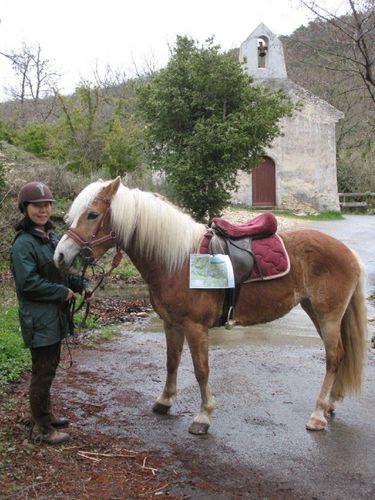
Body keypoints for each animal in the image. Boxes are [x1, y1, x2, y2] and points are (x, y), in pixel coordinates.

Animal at [54, 178, 368, 436]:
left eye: (93, 215)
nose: (60, 255)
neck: (178, 261)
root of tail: (348, 252)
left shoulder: (195, 327)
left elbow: (201, 369)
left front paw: (203, 417)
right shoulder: (171, 323)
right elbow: (172, 362)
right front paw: (164, 401)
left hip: (328, 315)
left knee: (333, 357)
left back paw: (317, 415)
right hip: (316, 312)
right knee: (339, 355)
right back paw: (329, 405)